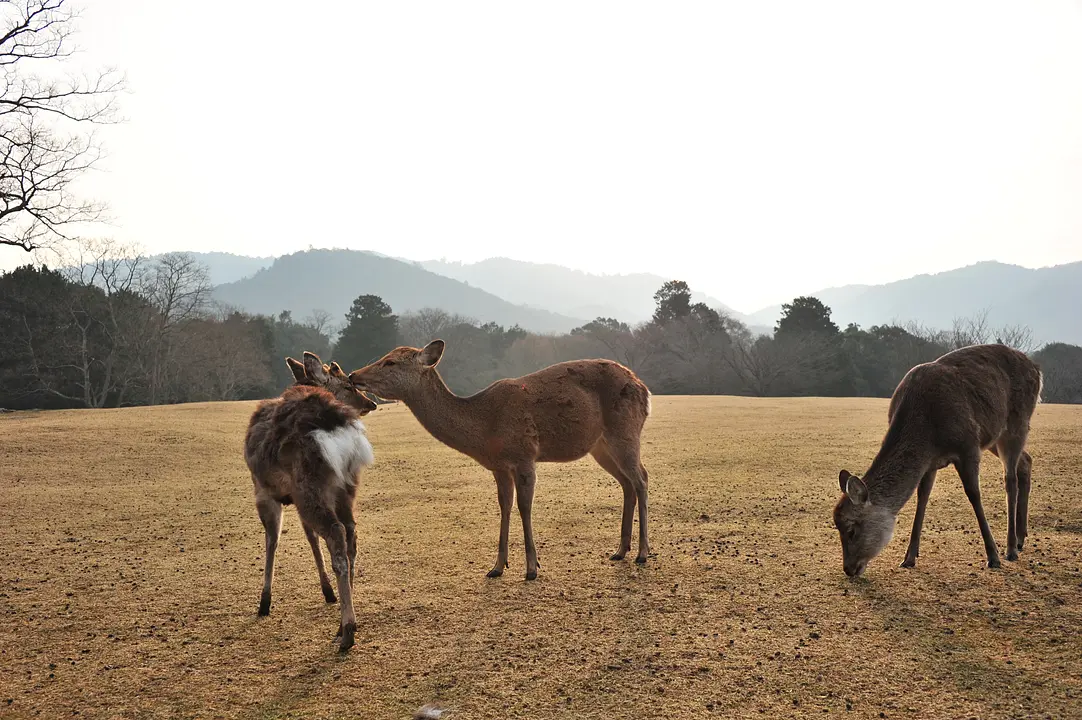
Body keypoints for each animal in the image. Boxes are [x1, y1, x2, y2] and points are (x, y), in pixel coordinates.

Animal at [243, 350, 378, 649]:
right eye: (348, 384)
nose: (371, 403)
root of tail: (335, 426)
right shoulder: (293, 496)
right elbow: (310, 538)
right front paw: (328, 592)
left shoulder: (263, 491)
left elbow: (272, 540)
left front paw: (264, 602)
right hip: (345, 485)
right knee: (350, 534)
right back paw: (345, 623)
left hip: (309, 484)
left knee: (335, 532)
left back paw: (347, 631)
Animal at [348, 337, 649, 580]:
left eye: (390, 362)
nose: (353, 374)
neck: (485, 429)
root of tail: (643, 388)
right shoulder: (498, 466)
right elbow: (504, 506)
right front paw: (497, 566)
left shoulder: (525, 454)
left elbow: (524, 507)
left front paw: (532, 568)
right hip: (600, 446)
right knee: (627, 483)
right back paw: (620, 550)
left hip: (625, 430)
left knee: (642, 478)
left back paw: (643, 552)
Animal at [830, 344, 1043, 580]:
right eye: (836, 526)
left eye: (851, 529)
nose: (848, 569)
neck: (928, 431)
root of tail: (1037, 369)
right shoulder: (930, 461)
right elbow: (922, 497)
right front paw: (909, 557)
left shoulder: (968, 444)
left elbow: (973, 495)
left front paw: (992, 556)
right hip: (994, 437)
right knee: (1026, 461)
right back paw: (1021, 538)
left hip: (1017, 423)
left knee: (1010, 479)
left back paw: (1011, 548)